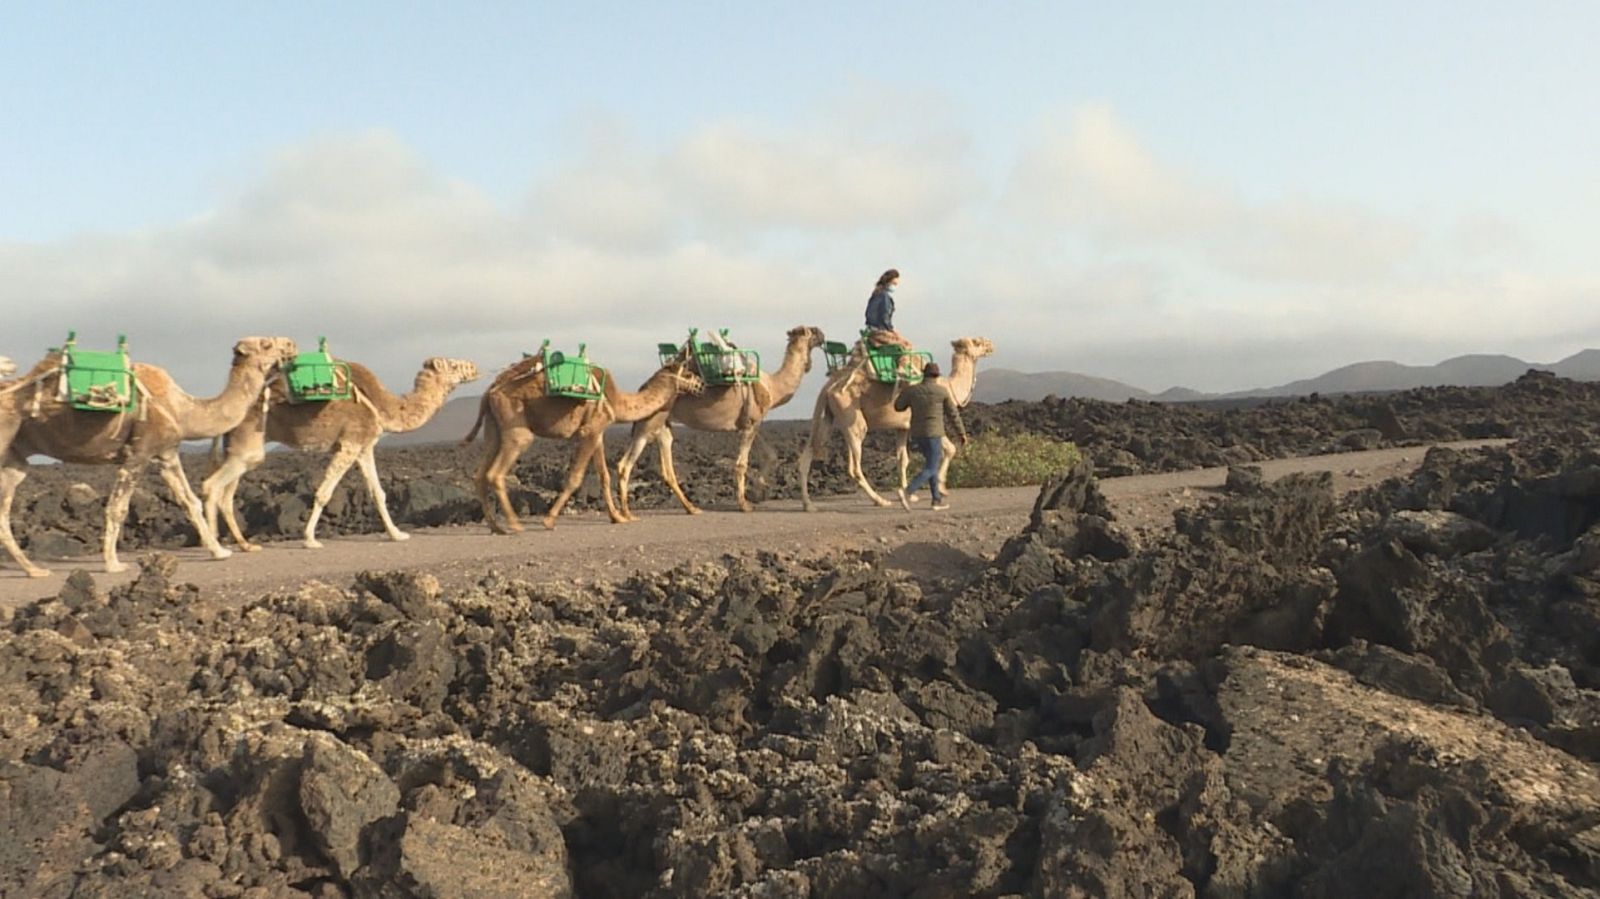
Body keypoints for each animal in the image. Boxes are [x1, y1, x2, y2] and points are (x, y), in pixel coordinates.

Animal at [0, 336, 299, 577]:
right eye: (266, 344)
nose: (291, 345)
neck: (182, 408)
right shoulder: (138, 453)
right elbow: (117, 508)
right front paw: (113, 564)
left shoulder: (167, 454)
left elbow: (190, 501)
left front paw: (219, 551)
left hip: (15, 460)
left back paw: (35, 570)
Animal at [202, 356, 481, 551]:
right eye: (454, 365)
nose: (474, 367)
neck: (383, 406)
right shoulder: (350, 443)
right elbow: (324, 493)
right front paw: (310, 539)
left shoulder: (364, 446)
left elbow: (378, 493)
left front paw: (397, 534)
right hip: (248, 446)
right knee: (212, 486)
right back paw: (216, 547)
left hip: (241, 450)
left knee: (226, 494)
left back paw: (244, 545)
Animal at [464, 352, 703, 532]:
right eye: (688, 373)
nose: (701, 385)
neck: (617, 401)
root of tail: (490, 390)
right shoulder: (589, 430)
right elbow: (575, 477)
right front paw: (549, 519)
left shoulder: (597, 433)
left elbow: (604, 475)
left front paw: (617, 517)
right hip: (516, 426)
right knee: (495, 473)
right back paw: (514, 524)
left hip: (493, 427)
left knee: (480, 474)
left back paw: (496, 527)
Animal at [616, 325, 826, 517]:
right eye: (810, 331)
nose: (823, 334)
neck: (773, 388)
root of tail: (644, 387)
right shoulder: (751, 424)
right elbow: (741, 464)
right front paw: (745, 504)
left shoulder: (749, 424)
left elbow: (771, 454)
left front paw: (757, 494)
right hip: (648, 425)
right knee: (625, 464)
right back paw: (625, 513)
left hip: (662, 425)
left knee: (667, 468)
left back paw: (692, 508)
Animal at [797, 336, 995, 511]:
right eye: (976, 342)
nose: (990, 345)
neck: (948, 386)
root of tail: (828, 387)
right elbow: (950, 449)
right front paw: (942, 488)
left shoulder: (903, 427)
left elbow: (903, 459)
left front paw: (910, 495)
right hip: (851, 418)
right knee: (854, 466)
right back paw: (880, 501)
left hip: (827, 416)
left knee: (808, 454)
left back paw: (809, 505)